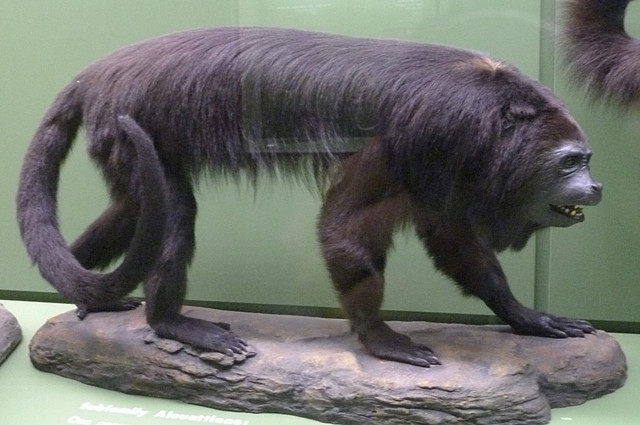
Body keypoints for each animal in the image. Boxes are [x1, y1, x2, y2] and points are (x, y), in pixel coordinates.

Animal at [17, 27, 603, 367]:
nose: (597, 186)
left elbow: (454, 241)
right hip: (127, 125)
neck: (495, 121)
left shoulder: (451, 165)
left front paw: (525, 316)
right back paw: (170, 321)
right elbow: (344, 228)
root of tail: (96, 72)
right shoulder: (422, 136)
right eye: (571, 161)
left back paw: (88, 293)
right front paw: (379, 338)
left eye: (588, 159)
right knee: (172, 213)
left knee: (133, 210)